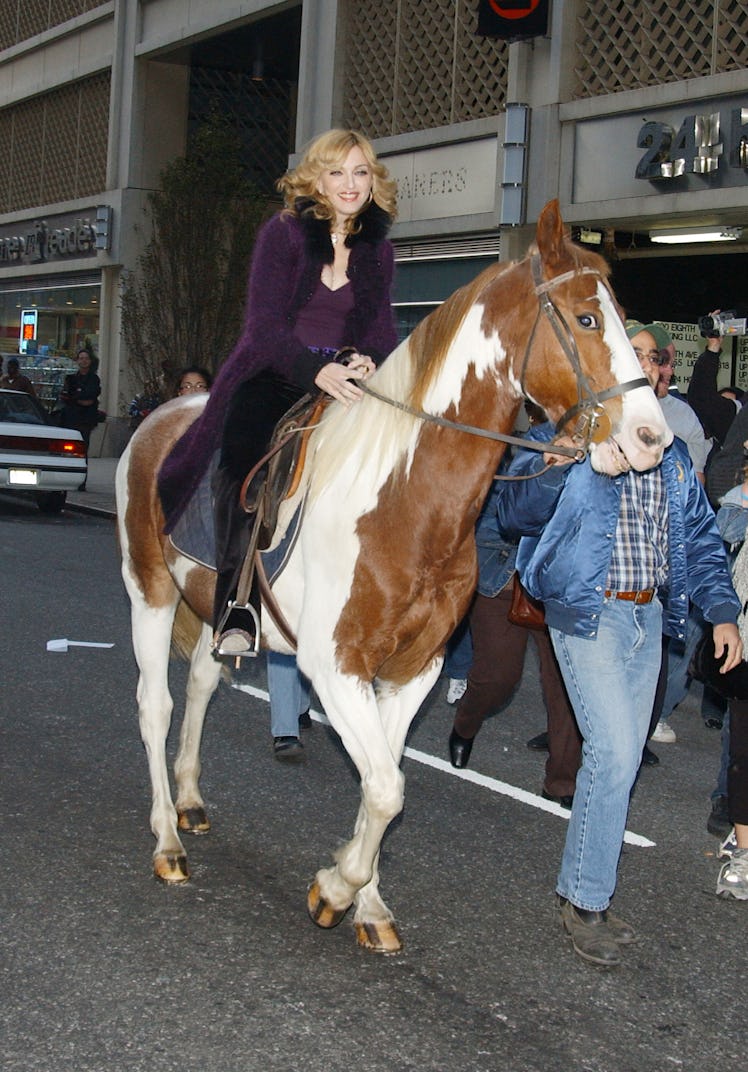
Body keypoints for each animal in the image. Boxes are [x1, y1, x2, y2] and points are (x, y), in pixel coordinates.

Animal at [116, 201, 668, 956]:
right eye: (586, 318)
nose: (652, 439)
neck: (406, 497)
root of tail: (162, 415)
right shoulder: (335, 664)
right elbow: (385, 789)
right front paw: (335, 888)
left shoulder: (413, 670)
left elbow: (386, 781)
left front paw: (368, 902)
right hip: (148, 587)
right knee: (155, 704)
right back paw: (167, 837)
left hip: (214, 603)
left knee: (202, 682)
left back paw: (192, 801)